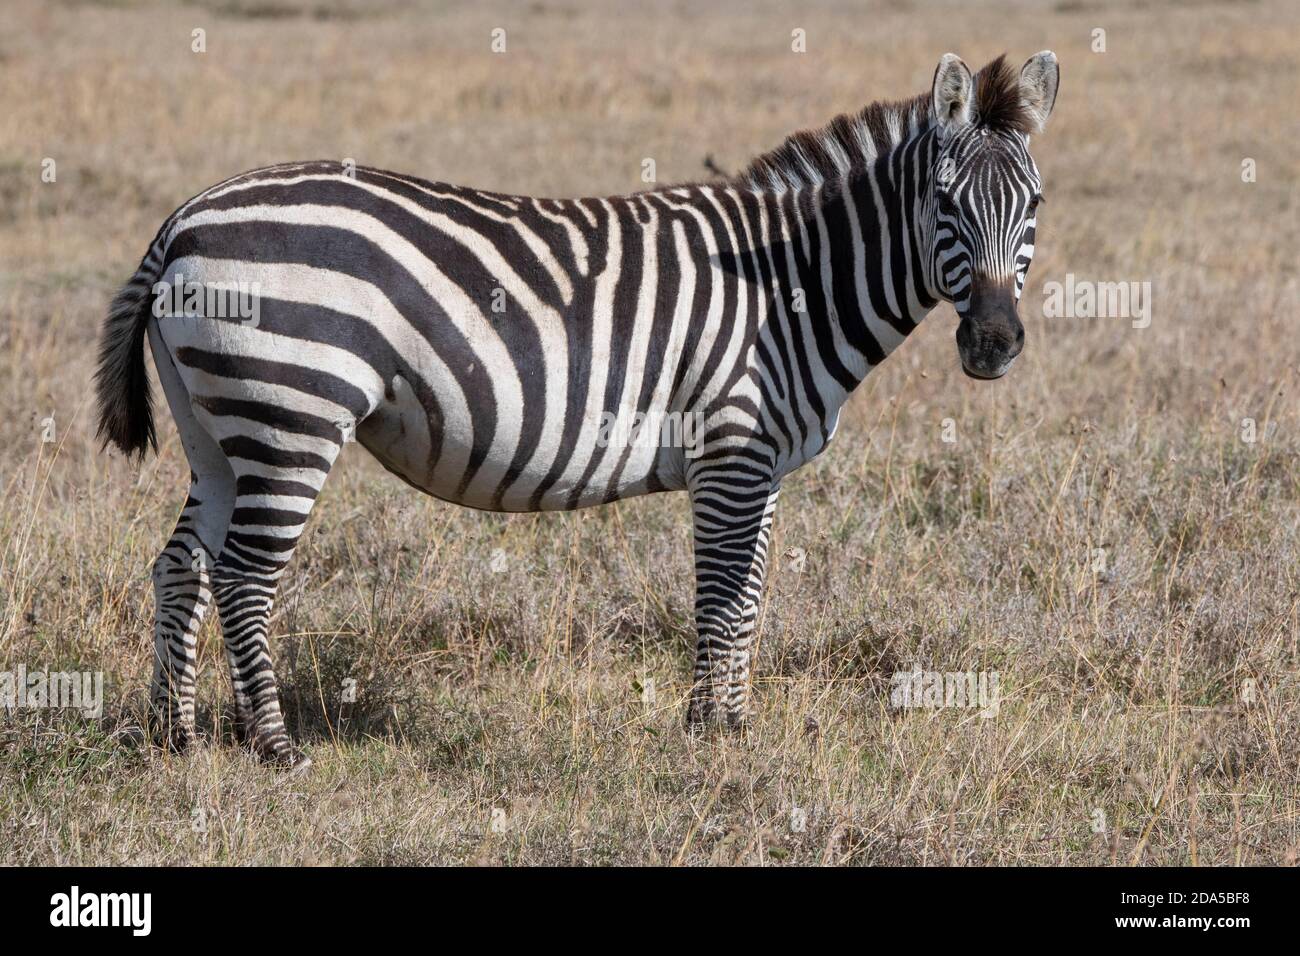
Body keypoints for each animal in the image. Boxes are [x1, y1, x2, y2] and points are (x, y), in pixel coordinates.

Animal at [96, 51, 1058, 768]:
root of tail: (185, 217)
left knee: (181, 565)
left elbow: (750, 595)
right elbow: (721, 596)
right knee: (244, 576)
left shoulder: (764, 465)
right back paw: (275, 748)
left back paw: (176, 737)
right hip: (291, 415)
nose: (993, 344)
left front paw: (736, 728)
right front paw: (705, 737)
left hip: (219, 429)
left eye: (1036, 205)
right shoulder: (731, 450)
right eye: (944, 203)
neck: (792, 283)